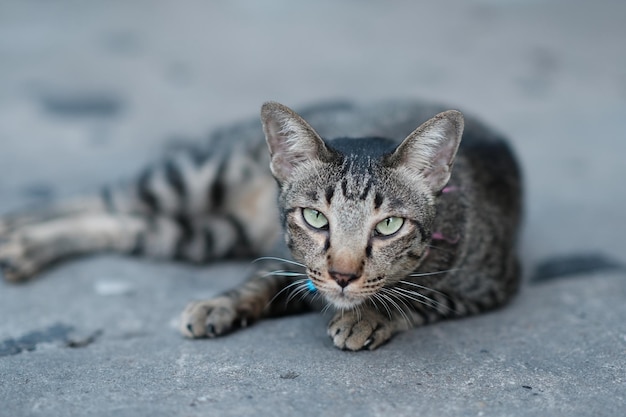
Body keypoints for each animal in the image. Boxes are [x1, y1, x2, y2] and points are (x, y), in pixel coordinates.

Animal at [0, 99, 520, 350]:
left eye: (389, 225)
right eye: (315, 217)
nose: (343, 275)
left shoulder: (487, 287)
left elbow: (415, 299)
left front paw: (366, 316)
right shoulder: (288, 260)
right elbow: (257, 283)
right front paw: (218, 303)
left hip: (202, 235)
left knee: (122, 222)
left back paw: (23, 246)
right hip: (193, 178)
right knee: (100, 198)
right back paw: (14, 232)